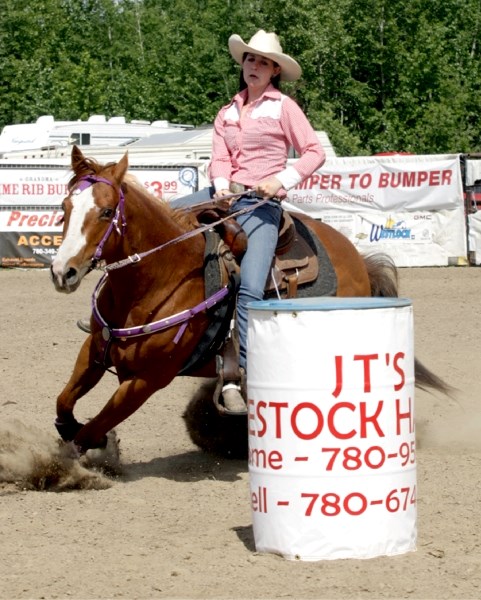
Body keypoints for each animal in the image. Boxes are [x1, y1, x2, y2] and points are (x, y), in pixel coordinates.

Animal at [49, 148, 446, 458]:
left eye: (105, 212)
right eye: (65, 206)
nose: (62, 271)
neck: (155, 279)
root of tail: (355, 255)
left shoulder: (147, 380)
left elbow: (91, 431)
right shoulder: (94, 349)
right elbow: (64, 403)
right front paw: (72, 428)